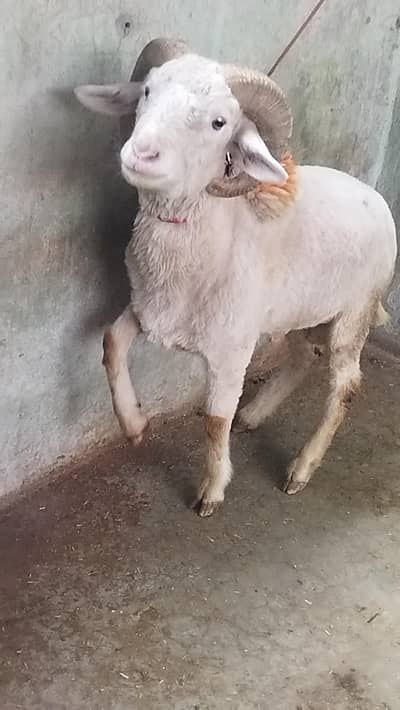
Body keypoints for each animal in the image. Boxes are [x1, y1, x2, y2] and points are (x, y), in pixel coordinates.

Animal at [75, 38, 397, 516]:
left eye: (218, 122)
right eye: (147, 91)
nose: (141, 154)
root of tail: (375, 197)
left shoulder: (231, 349)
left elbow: (214, 420)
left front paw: (211, 490)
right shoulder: (149, 306)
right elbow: (112, 342)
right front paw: (133, 423)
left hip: (354, 313)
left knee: (345, 385)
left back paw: (301, 468)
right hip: (297, 310)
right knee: (302, 356)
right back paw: (255, 414)